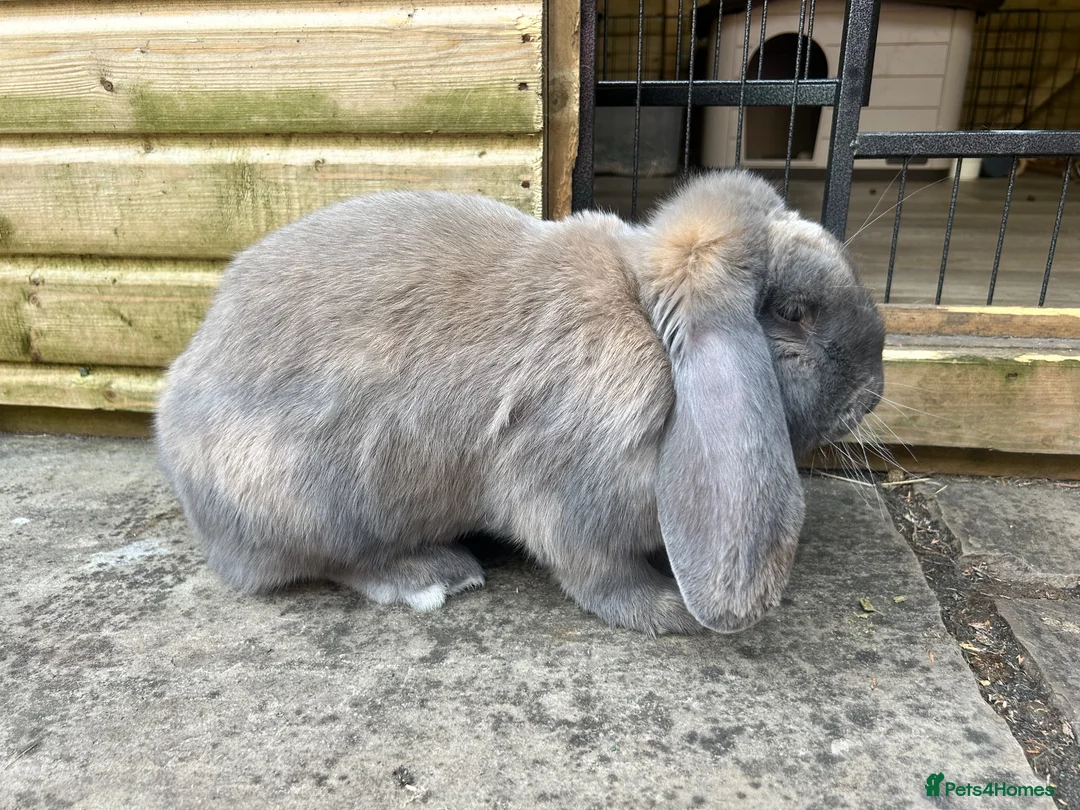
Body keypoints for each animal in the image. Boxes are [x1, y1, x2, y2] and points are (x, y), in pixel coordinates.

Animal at [155, 169, 885, 635]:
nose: (873, 394)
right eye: (794, 313)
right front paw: (669, 612)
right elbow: (600, 577)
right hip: (314, 502)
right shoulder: (569, 503)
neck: (648, 323)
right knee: (333, 563)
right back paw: (432, 575)